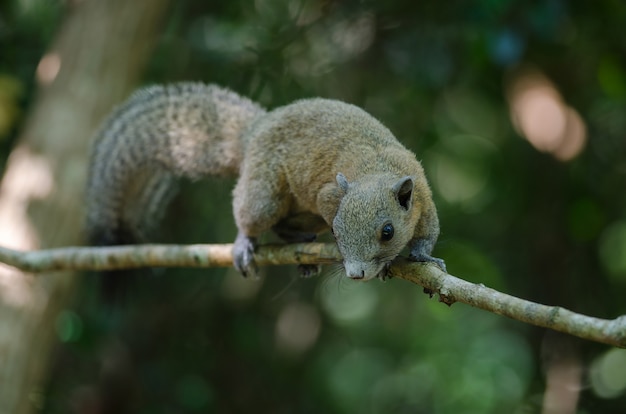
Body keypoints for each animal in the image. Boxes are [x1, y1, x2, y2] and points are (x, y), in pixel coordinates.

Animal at [85, 82, 444, 286]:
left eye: (388, 232)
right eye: (337, 232)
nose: (355, 273)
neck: (377, 169)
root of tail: (255, 131)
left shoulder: (422, 196)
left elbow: (428, 232)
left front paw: (424, 257)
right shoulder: (329, 195)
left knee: (285, 226)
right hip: (265, 195)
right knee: (254, 217)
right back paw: (246, 244)